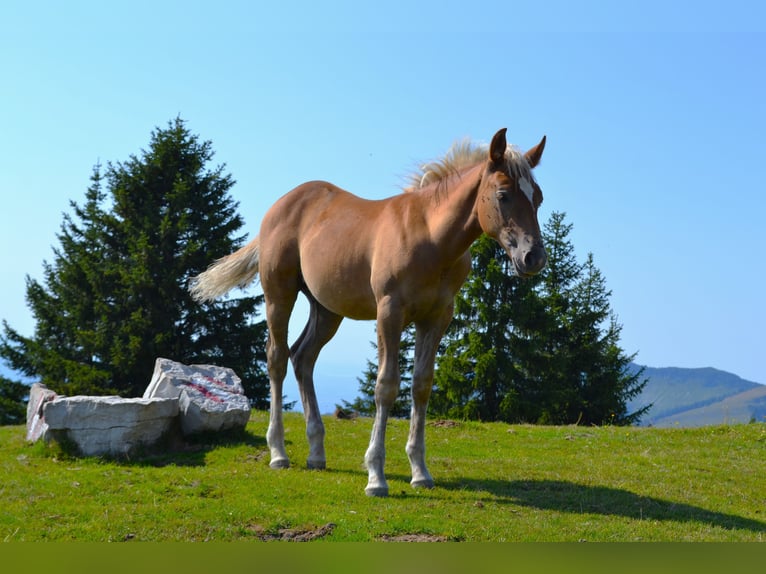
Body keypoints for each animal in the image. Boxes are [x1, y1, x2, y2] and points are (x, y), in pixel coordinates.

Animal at [190, 128, 547, 496]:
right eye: (504, 195)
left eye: (538, 198)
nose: (534, 258)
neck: (432, 239)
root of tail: (279, 205)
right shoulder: (389, 311)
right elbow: (386, 385)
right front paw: (376, 475)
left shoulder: (437, 317)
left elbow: (421, 384)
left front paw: (420, 472)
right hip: (279, 294)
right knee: (277, 357)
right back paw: (278, 452)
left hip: (327, 309)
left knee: (303, 357)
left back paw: (316, 453)